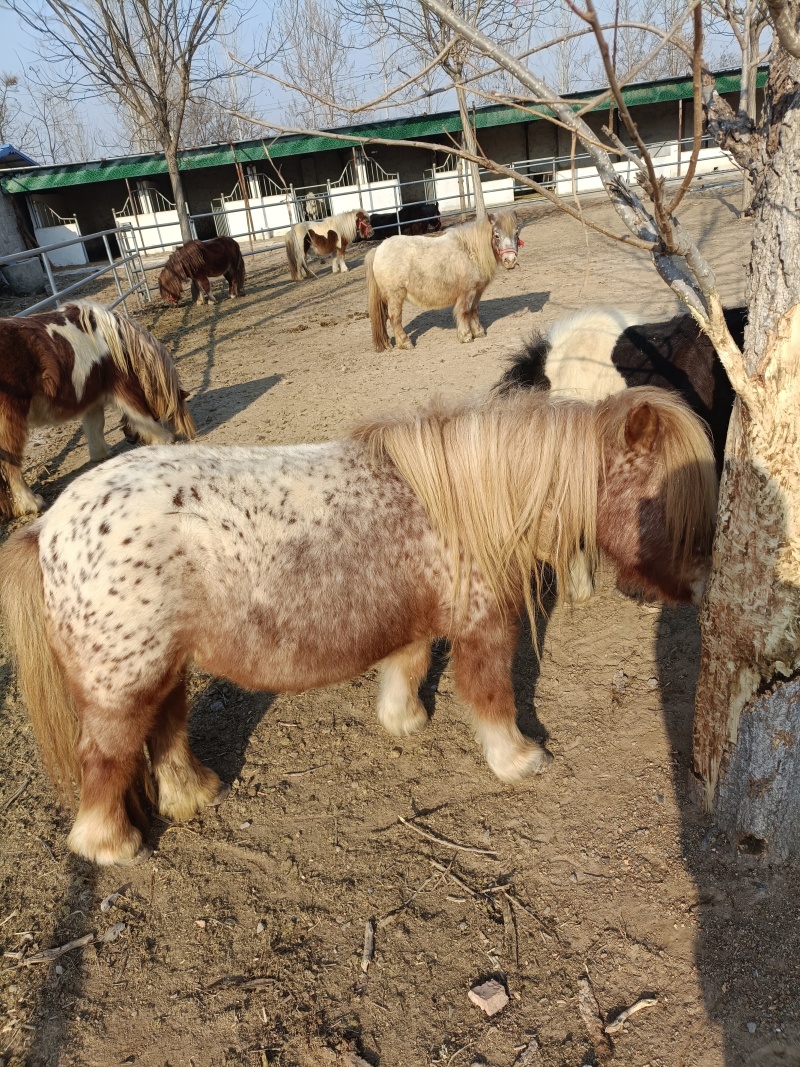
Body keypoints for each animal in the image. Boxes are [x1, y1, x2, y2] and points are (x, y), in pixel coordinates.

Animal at [0, 302, 195, 519]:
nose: (130, 438)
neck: (120, 345)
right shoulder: (123, 387)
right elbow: (139, 414)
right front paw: (164, 438)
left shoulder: (93, 399)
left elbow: (95, 425)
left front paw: (101, 453)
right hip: (11, 419)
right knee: (11, 465)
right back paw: (30, 502)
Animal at [0, 386, 716, 864]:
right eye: (664, 500)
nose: (698, 587)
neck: (467, 501)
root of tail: (49, 528)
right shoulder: (484, 628)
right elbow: (492, 696)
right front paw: (517, 759)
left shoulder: (416, 622)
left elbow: (408, 667)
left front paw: (405, 721)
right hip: (122, 686)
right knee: (107, 757)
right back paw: (111, 846)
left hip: (163, 670)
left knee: (167, 731)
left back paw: (194, 794)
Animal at [366, 211, 522, 350]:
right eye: (496, 235)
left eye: (516, 233)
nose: (510, 260)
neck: (471, 252)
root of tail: (378, 249)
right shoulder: (467, 292)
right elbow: (464, 312)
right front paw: (466, 336)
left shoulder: (477, 292)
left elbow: (474, 310)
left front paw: (478, 332)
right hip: (395, 295)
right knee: (395, 318)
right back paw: (405, 343)